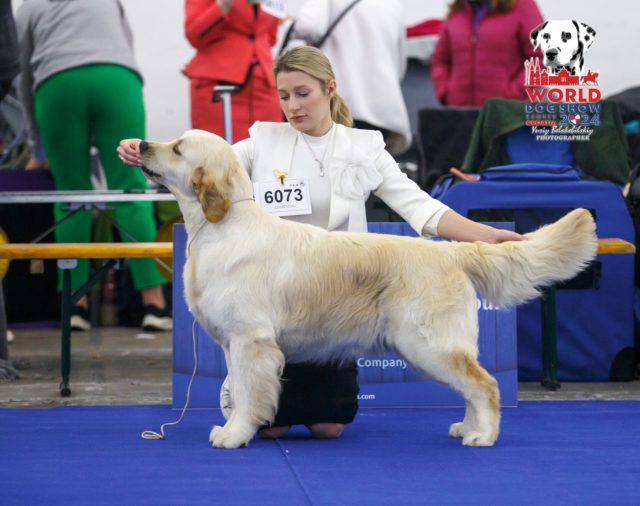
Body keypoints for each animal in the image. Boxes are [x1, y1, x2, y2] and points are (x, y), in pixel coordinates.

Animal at [136, 131, 600, 450]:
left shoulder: (251, 341)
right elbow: (238, 387)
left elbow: (249, 393)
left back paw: (482, 436)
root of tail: (450, 251)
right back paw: (466, 427)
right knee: (472, 386)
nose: (139, 144)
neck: (220, 226)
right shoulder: (235, 344)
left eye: (177, 148)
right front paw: (233, 428)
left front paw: (234, 435)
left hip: (429, 344)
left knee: (484, 385)